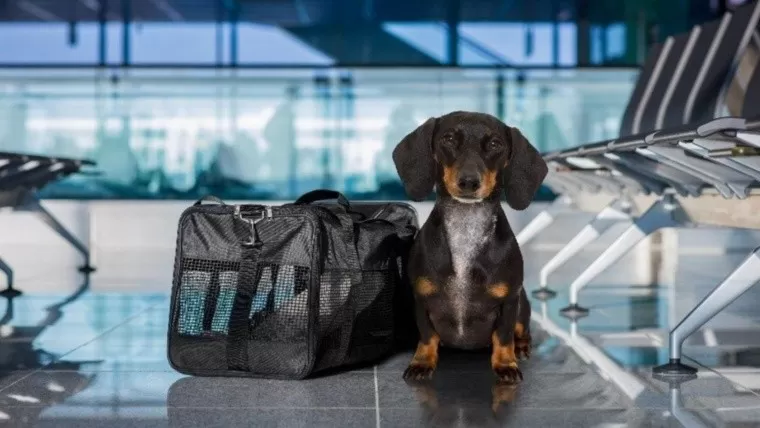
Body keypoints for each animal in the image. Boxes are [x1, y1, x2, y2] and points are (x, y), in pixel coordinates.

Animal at [392, 110, 548, 384]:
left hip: (523, 306)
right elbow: (427, 335)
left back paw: (522, 347)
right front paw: (422, 361)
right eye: (448, 139)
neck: (466, 231)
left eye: (496, 144)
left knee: (522, 331)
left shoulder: (509, 301)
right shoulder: (421, 298)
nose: (468, 182)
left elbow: (504, 337)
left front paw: (506, 364)